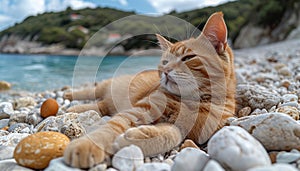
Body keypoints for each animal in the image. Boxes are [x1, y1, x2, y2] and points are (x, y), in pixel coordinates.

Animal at [64, 12, 236, 168]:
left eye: (188, 58)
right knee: (91, 93)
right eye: (165, 62)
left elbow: (171, 135)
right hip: (106, 86)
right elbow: (112, 127)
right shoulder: (140, 109)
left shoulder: (187, 130)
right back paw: (69, 97)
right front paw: (87, 145)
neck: (190, 100)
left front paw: (132, 138)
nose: (165, 70)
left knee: (102, 105)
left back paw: (75, 109)